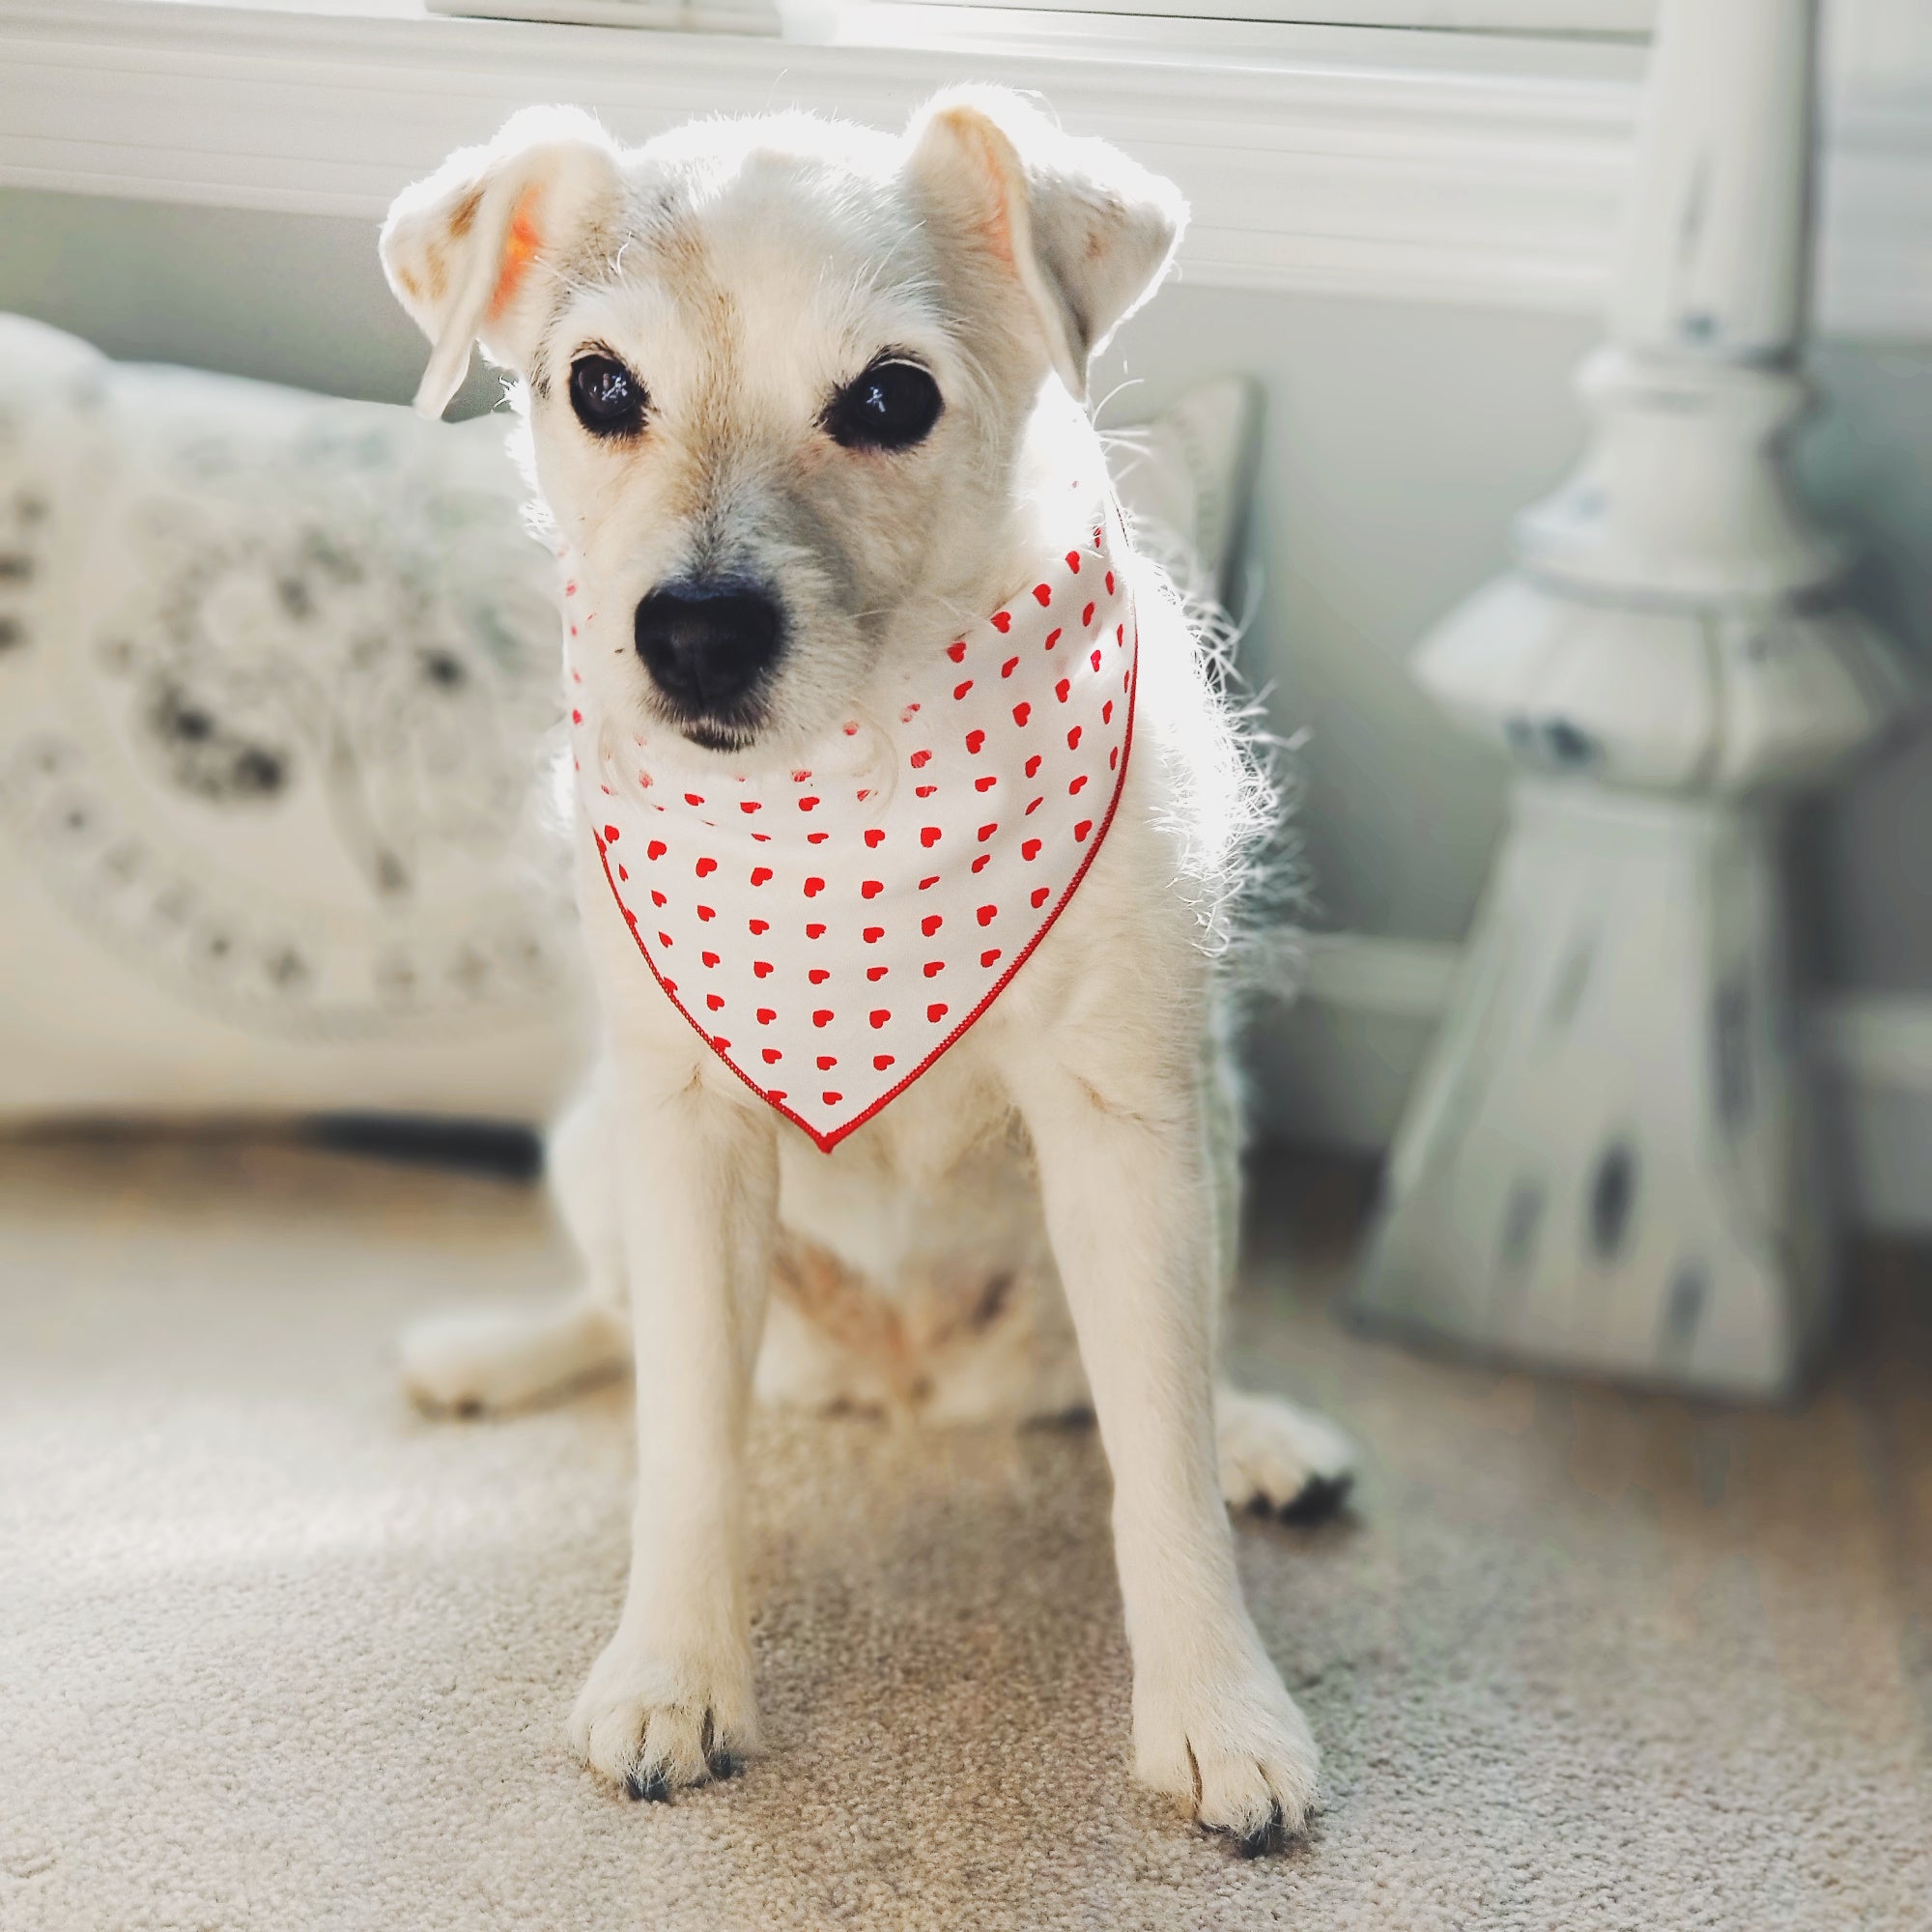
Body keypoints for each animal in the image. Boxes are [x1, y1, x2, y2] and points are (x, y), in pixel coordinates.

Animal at [377, 91, 1345, 1855]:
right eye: (597, 385)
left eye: (891, 398)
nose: (693, 632)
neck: (855, 790)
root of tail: (907, 1389)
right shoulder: (688, 1137)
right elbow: (686, 1442)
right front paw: (673, 1675)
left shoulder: (1123, 1133)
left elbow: (1157, 1456)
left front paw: (1218, 1708)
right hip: (600, 1149)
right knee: (618, 1326)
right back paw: (492, 1354)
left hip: (1212, 1144)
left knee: (1155, 1374)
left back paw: (1260, 1429)